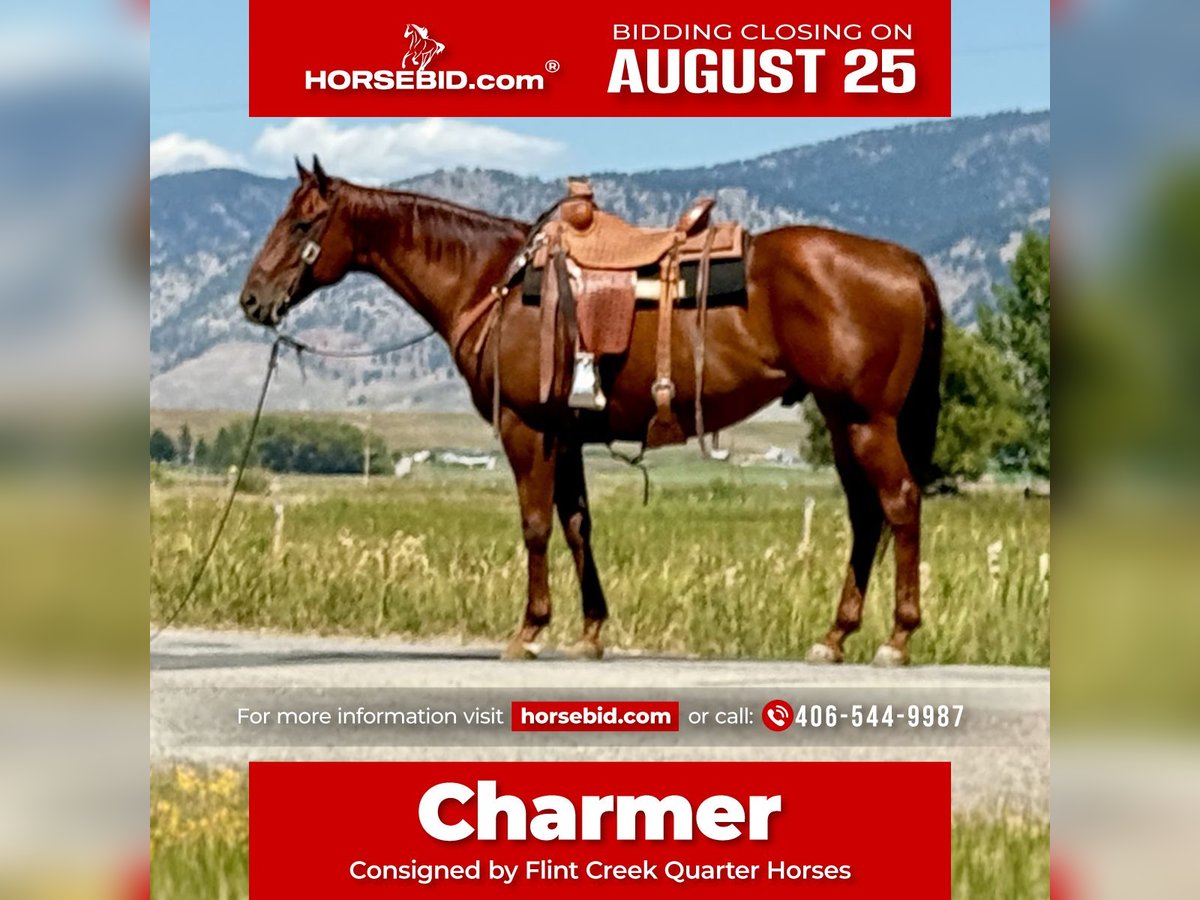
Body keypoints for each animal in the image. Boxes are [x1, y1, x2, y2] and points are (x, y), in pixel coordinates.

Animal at [238, 157, 944, 666]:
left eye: (301, 225)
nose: (251, 299)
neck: (491, 281)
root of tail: (905, 263)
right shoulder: (566, 433)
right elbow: (578, 525)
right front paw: (591, 631)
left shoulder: (525, 426)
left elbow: (535, 527)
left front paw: (528, 631)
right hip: (842, 418)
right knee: (866, 517)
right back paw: (835, 636)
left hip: (866, 419)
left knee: (900, 503)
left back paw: (897, 638)